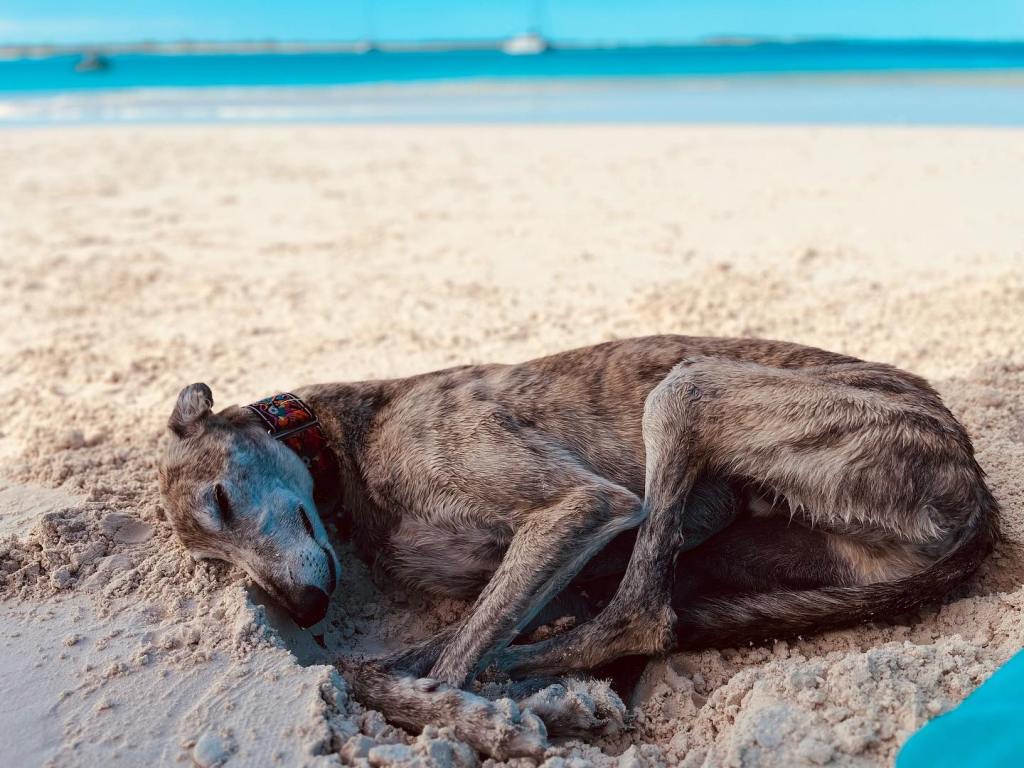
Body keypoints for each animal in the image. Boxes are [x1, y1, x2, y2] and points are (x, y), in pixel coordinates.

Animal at [159, 335, 999, 757]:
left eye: (222, 498)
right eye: (213, 563)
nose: (302, 610)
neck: (348, 438)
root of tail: (975, 485)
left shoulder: (580, 505)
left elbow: (436, 671)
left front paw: (485, 723)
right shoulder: (562, 556)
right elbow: (378, 666)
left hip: (688, 390)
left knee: (637, 615)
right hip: (749, 544)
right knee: (633, 608)